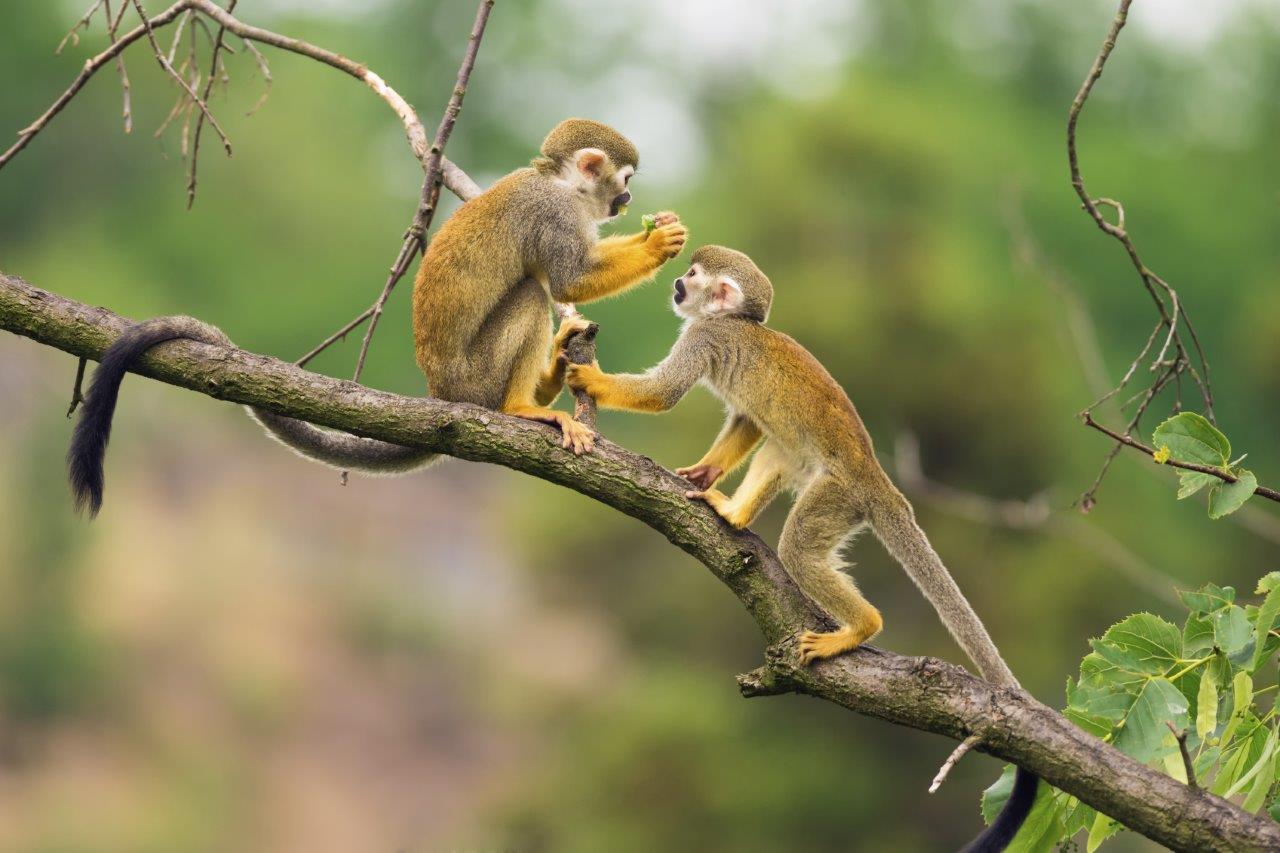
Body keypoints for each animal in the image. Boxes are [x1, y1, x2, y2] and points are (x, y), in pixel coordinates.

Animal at [67, 117, 691, 514]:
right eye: (624, 181)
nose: (627, 202)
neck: (558, 182)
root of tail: (443, 395)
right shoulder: (554, 213)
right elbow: (567, 279)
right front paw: (659, 244)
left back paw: (554, 371)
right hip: (476, 378)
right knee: (531, 295)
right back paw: (523, 407)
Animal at [570, 244, 1039, 850]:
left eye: (692, 276)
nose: (676, 284)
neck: (735, 323)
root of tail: (876, 478)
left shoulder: (705, 337)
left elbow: (666, 393)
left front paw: (590, 376)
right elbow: (747, 421)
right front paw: (705, 472)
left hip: (839, 495)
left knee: (797, 545)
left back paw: (860, 627)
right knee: (779, 443)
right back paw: (736, 513)